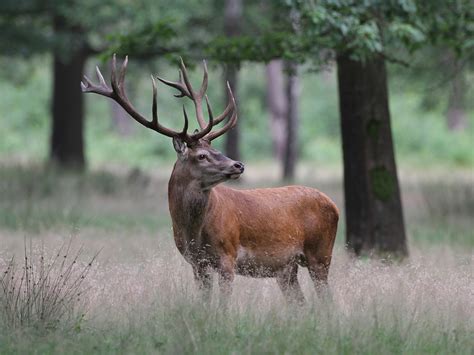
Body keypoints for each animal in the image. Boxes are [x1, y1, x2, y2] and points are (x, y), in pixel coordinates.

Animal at [82, 55, 340, 304]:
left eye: (215, 149)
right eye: (202, 155)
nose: (238, 165)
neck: (193, 231)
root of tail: (334, 205)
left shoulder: (228, 255)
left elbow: (223, 305)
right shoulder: (197, 263)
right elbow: (205, 303)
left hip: (321, 252)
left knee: (327, 300)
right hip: (286, 267)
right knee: (300, 303)